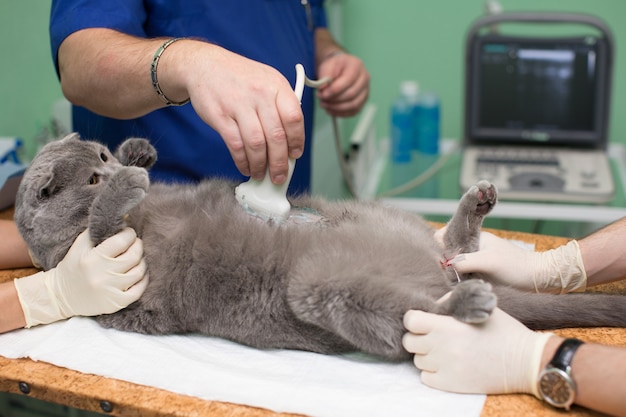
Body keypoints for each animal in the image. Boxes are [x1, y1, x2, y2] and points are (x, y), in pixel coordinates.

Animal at [12, 132, 624, 358]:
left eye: (100, 155)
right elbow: (101, 227)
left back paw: (476, 206)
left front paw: (139, 151)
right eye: (91, 175)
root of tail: (439, 271)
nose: (111, 167)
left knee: (452, 245)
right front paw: (124, 185)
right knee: (409, 317)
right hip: (319, 289)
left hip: (372, 213)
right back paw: (467, 303)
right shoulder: (116, 272)